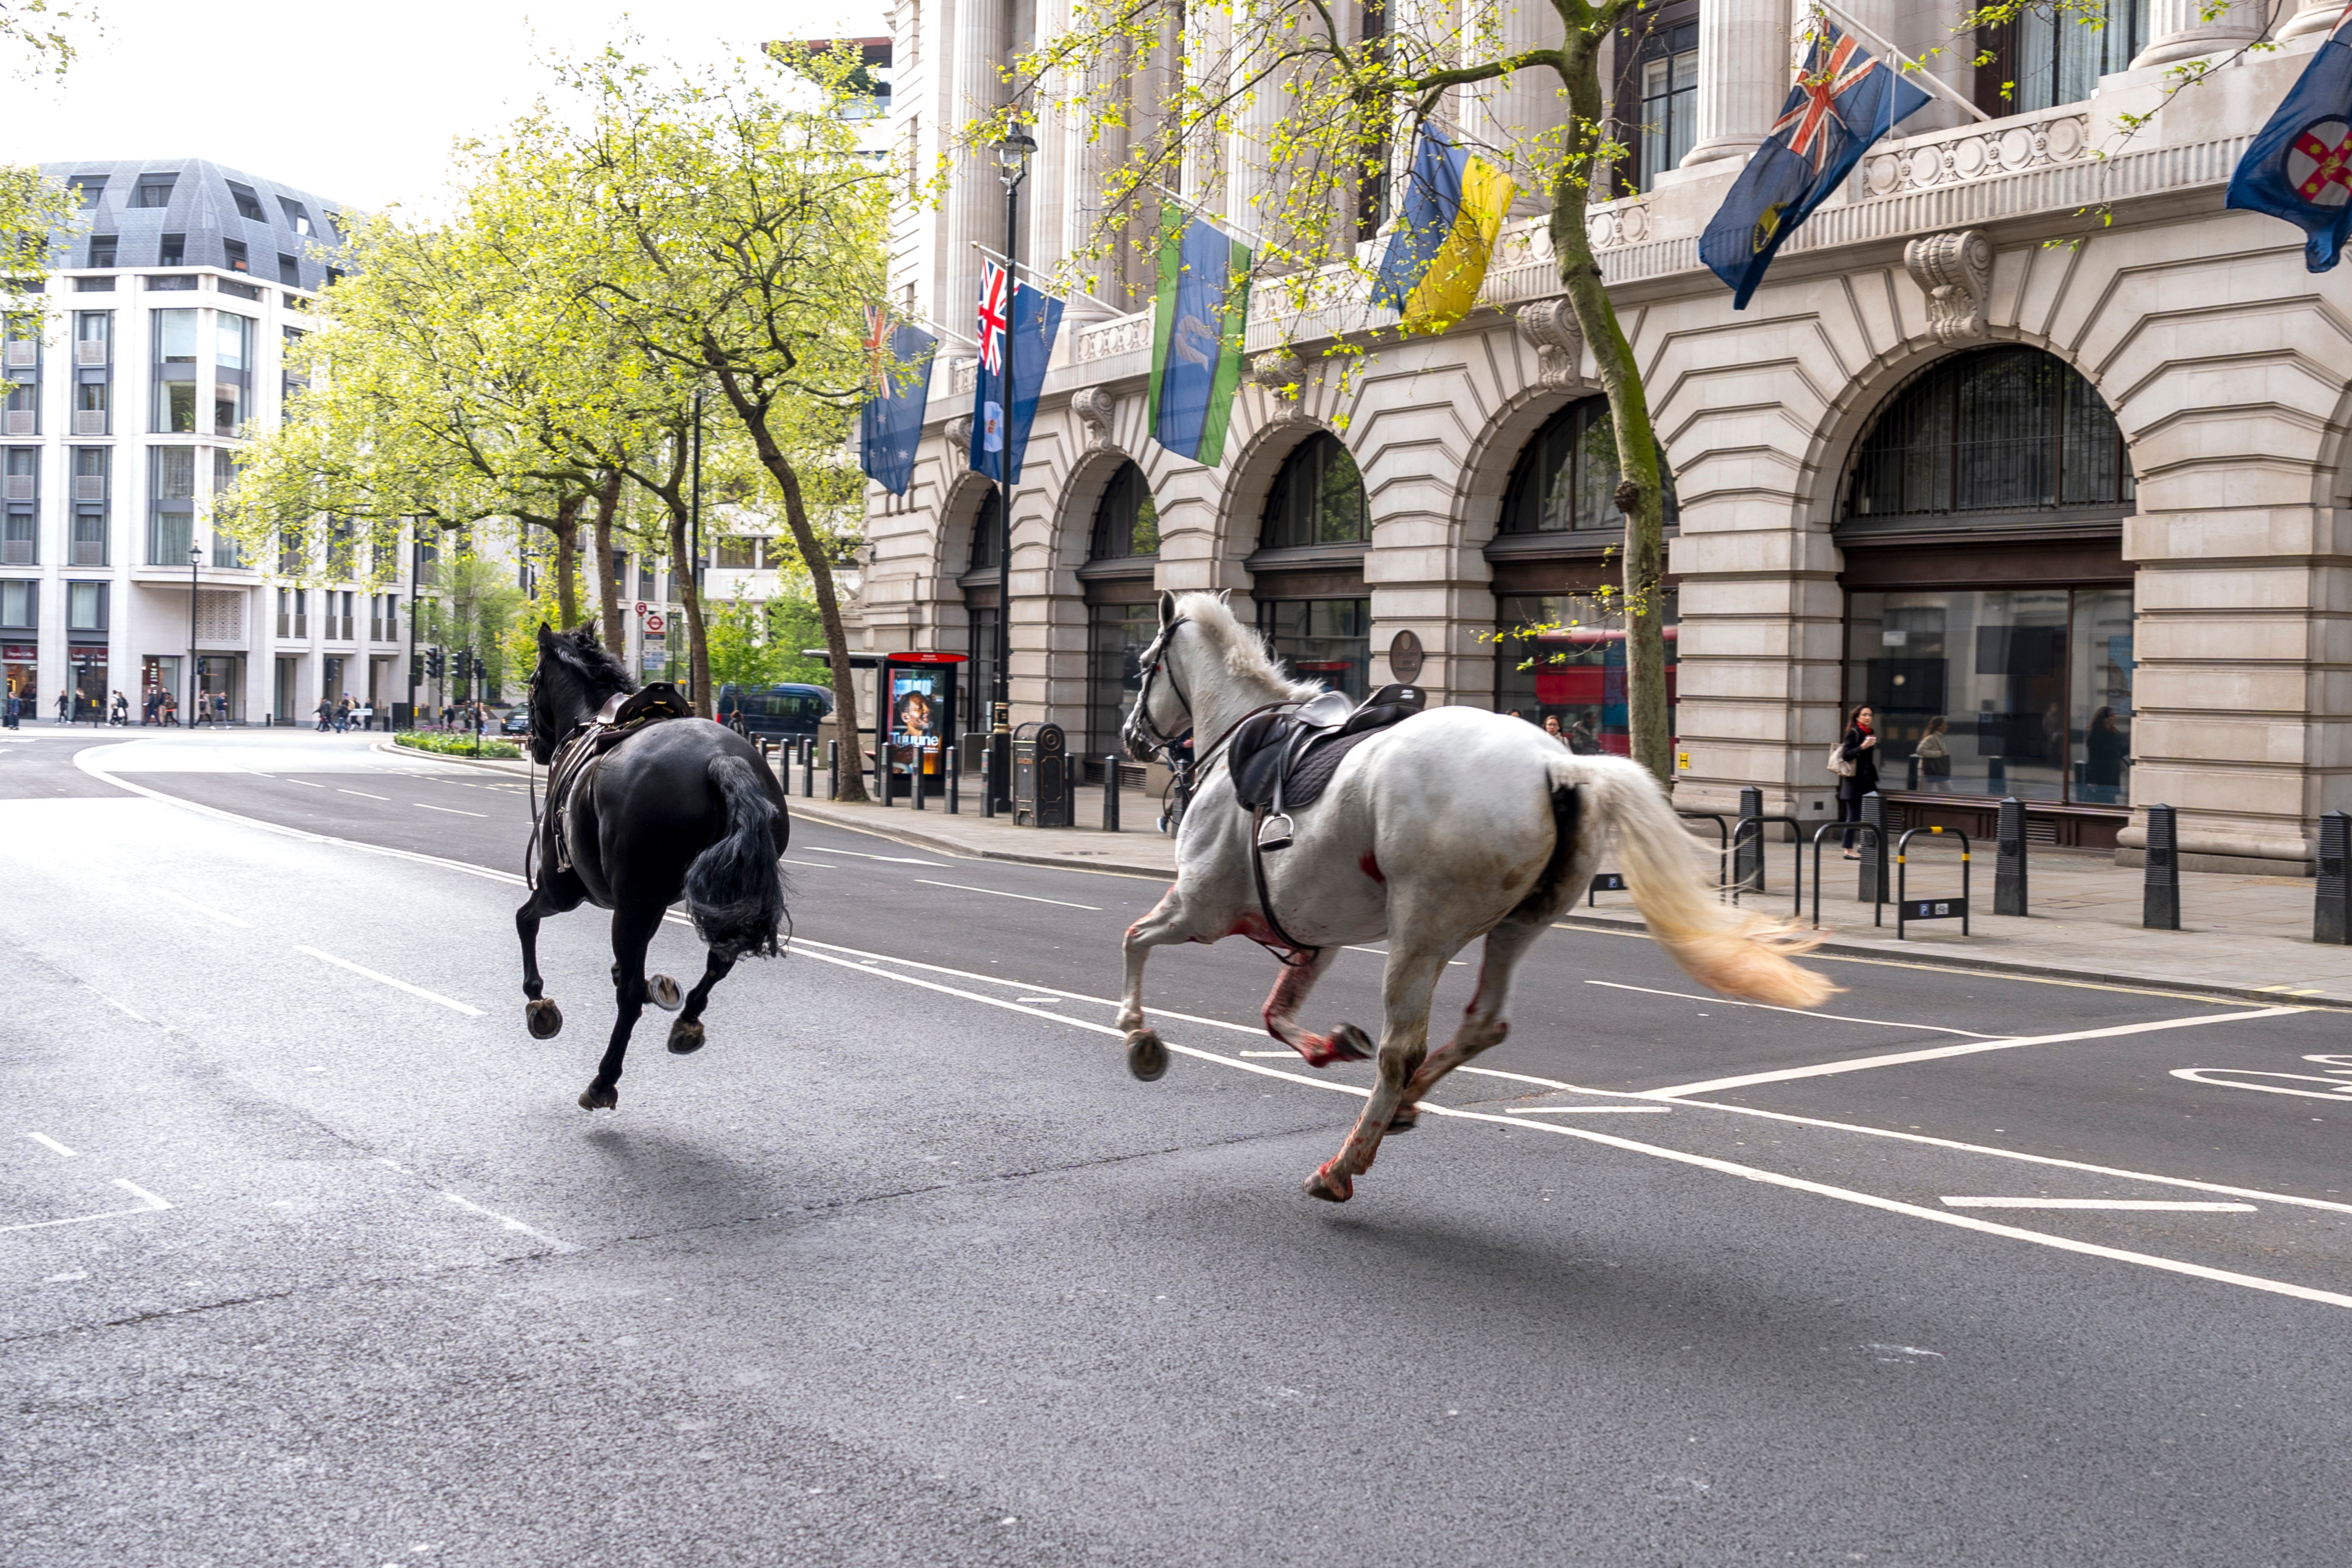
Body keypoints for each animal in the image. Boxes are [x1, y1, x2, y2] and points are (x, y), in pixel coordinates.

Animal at [517, 625, 790, 1114]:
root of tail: (721, 760)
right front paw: (659, 986)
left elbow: (526, 920)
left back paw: (603, 1080)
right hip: (721, 894)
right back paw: (687, 1020)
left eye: (533, 682)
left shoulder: (563, 888)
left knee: (627, 1000)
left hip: (623, 900)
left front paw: (538, 999)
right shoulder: (653, 903)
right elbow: (635, 968)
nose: (536, 743)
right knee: (719, 961)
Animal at [1120, 588, 1835, 1203]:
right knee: (1482, 1024)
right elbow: (1275, 1013)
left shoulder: (1201, 909)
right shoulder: (1311, 933)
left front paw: (1137, 1035)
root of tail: (1560, 763)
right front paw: (1328, 1045)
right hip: (1518, 924)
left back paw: (1345, 1163)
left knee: (1401, 1050)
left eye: (1145, 665)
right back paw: (1404, 1105)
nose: (1130, 737)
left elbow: (1135, 940)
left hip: (1420, 932)